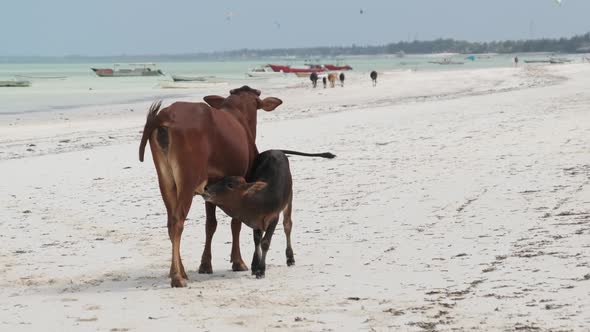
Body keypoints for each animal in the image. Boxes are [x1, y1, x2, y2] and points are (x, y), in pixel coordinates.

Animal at [141, 86, 284, 288]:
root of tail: (165, 114)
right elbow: (235, 223)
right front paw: (238, 261)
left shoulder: (211, 189)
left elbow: (211, 224)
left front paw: (205, 264)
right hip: (187, 181)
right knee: (177, 221)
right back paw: (177, 276)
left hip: (166, 181)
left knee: (170, 221)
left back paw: (180, 271)